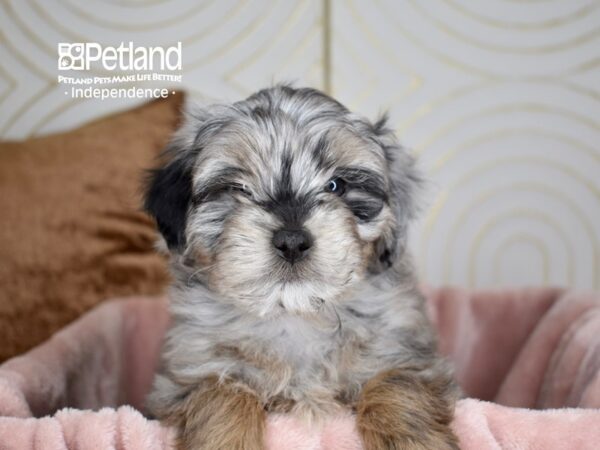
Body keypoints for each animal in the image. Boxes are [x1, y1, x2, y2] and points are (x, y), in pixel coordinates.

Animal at [143, 85, 458, 450]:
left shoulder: (404, 354)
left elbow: (397, 386)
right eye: (237, 188)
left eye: (336, 185)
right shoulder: (193, 370)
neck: (294, 315)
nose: (292, 241)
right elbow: (220, 394)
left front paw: (414, 440)